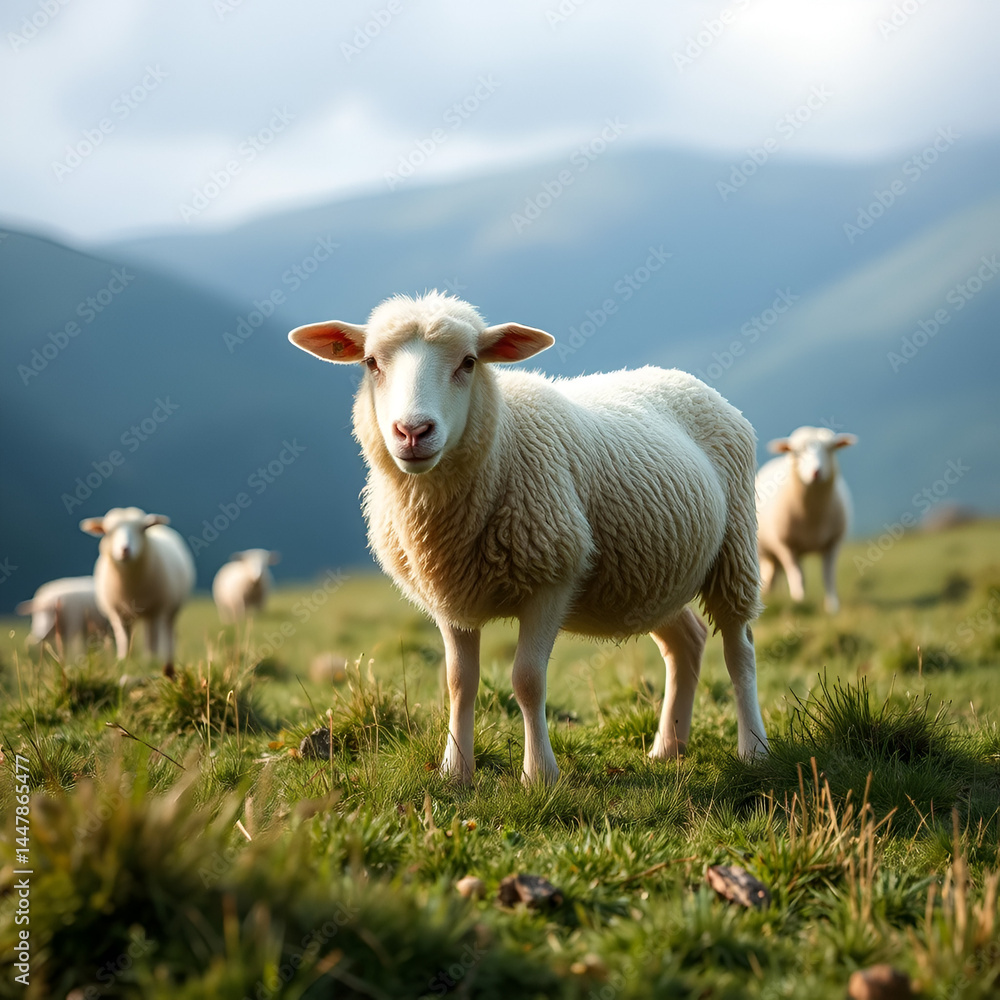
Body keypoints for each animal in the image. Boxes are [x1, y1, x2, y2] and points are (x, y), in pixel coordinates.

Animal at [80, 507, 196, 678]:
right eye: (108, 531)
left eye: (142, 529)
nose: (125, 550)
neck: (130, 586)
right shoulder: (117, 613)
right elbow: (124, 639)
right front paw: (123, 661)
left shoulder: (156, 609)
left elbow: (153, 640)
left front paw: (151, 661)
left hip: (167, 611)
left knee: (164, 635)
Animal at [288, 291, 769, 784]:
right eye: (370, 363)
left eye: (469, 362)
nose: (413, 432)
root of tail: (689, 380)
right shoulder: (449, 594)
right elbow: (459, 683)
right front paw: (455, 772)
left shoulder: (552, 580)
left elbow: (527, 680)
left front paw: (540, 774)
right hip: (648, 577)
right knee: (687, 642)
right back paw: (668, 747)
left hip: (735, 550)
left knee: (740, 650)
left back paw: (754, 749)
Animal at [755, 426, 857, 614]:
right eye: (797, 451)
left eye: (830, 448)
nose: (816, 472)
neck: (813, 517)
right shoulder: (786, 546)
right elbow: (797, 576)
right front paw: (799, 602)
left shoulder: (833, 543)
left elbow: (828, 576)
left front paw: (832, 607)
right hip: (764, 549)